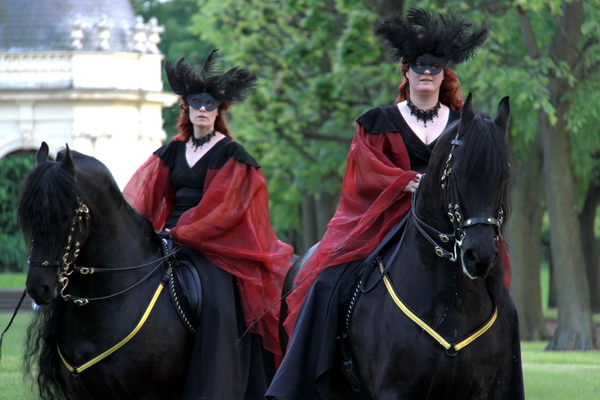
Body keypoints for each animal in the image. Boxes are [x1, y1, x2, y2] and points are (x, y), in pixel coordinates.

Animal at [278, 94, 524, 400]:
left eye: (504, 177)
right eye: (456, 174)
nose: (479, 256)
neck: (452, 302)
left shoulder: (476, 392)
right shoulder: (394, 390)